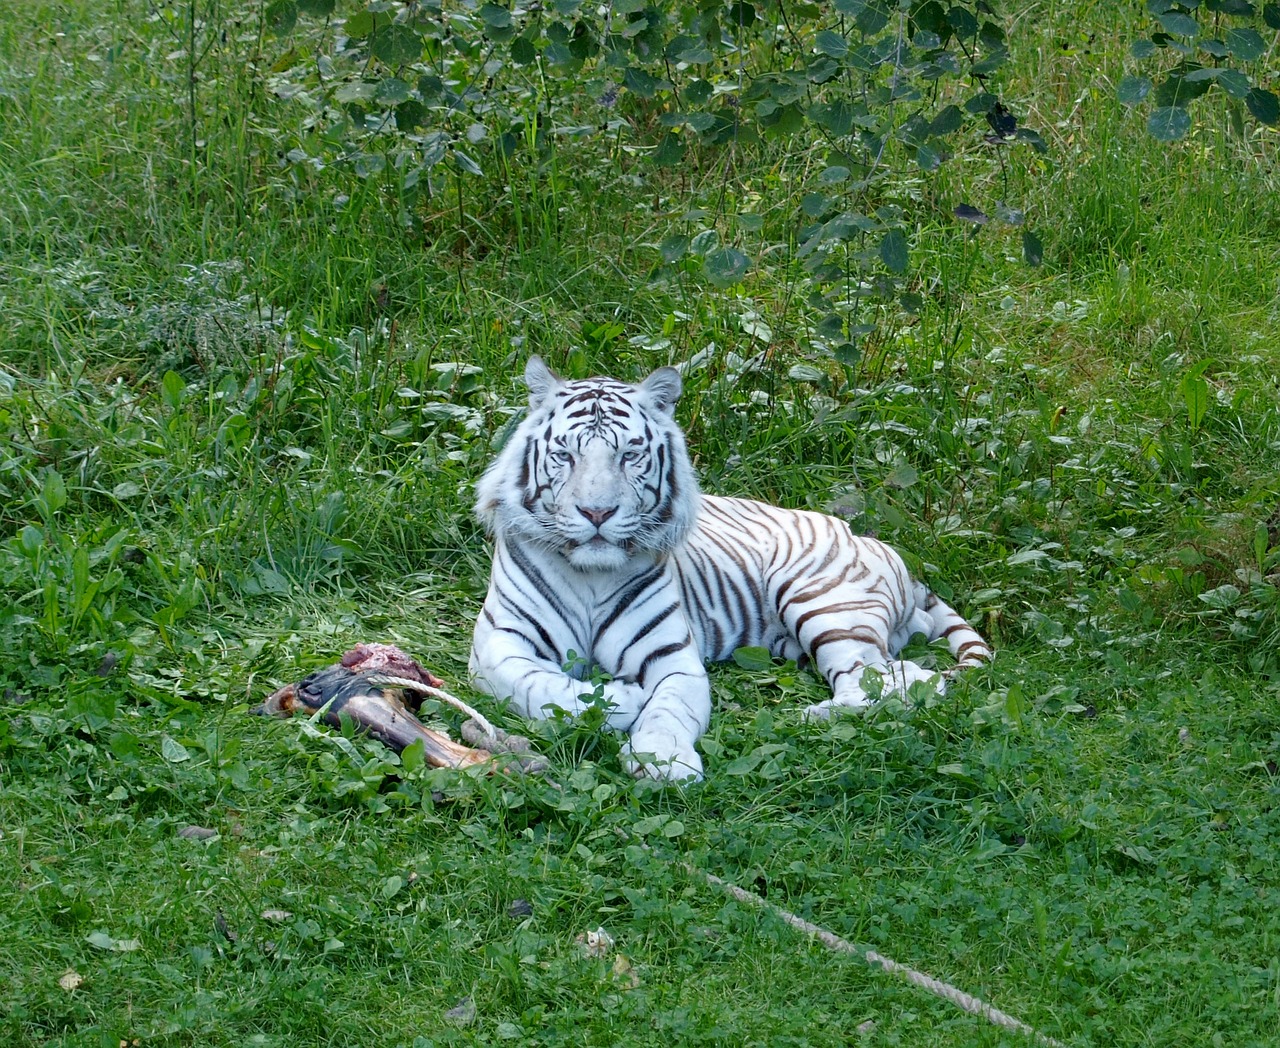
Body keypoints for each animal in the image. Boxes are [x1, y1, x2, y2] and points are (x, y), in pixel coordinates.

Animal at [471, 358, 988, 778]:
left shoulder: (674, 659)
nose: (597, 513)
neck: (591, 575)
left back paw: (807, 718)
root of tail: (870, 539)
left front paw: (662, 761)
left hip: (824, 604)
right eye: (566, 455)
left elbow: (668, 711)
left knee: (886, 681)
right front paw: (620, 698)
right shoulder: (497, 648)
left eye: (629, 455)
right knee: (906, 676)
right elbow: (541, 689)